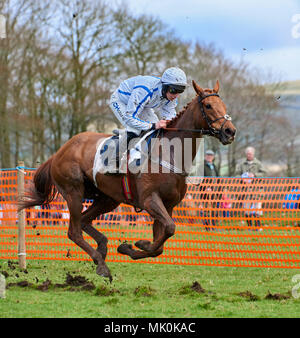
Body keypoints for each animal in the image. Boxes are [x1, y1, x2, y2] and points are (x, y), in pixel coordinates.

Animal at [19, 79, 237, 280]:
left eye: (224, 105)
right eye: (208, 106)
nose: (230, 131)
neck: (169, 152)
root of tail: (58, 152)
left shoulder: (167, 205)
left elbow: (161, 242)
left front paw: (130, 247)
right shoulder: (150, 200)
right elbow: (169, 229)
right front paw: (138, 244)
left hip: (107, 198)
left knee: (84, 221)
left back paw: (102, 250)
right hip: (74, 192)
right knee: (74, 231)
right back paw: (101, 263)